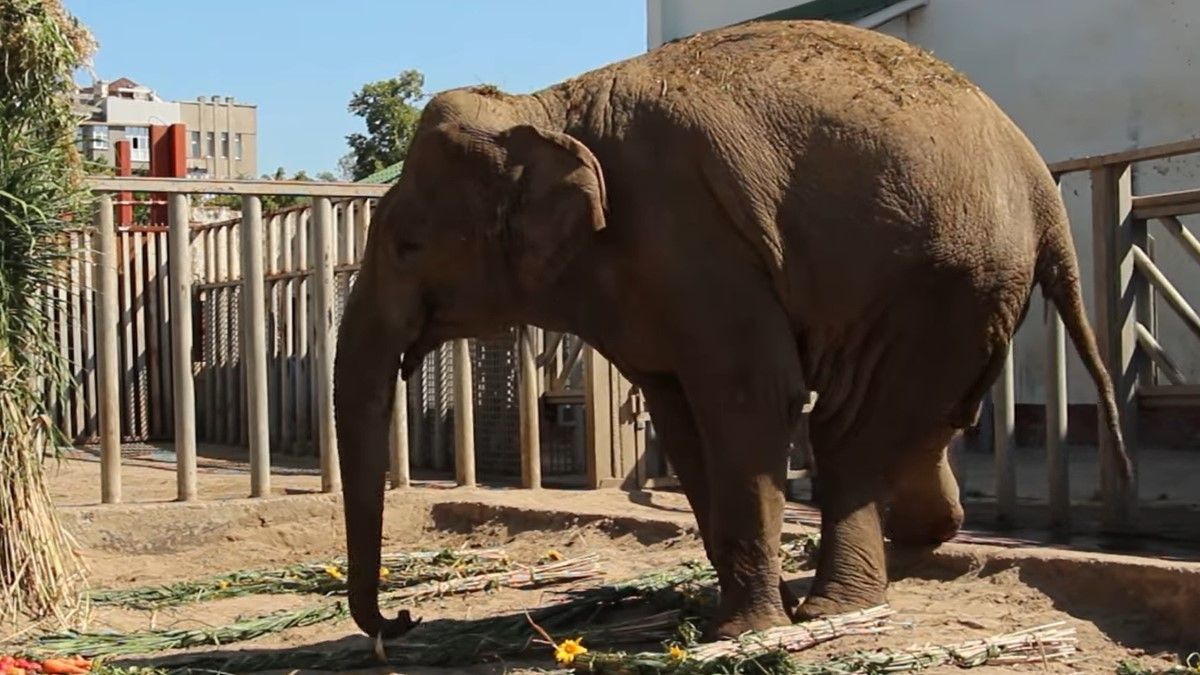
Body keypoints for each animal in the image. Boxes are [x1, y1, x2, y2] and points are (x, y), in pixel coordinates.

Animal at [333, 18, 1128, 638]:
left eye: (407, 245)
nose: (404, 619)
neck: (547, 106)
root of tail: (1038, 181)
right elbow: (680, 413)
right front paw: (721, 609)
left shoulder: (698, 238)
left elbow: (749, 398)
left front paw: (743, 630)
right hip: (965, 285)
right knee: (924, 413)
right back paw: (922, 536)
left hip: (942, 274)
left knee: (849, 428)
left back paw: (835, 607)